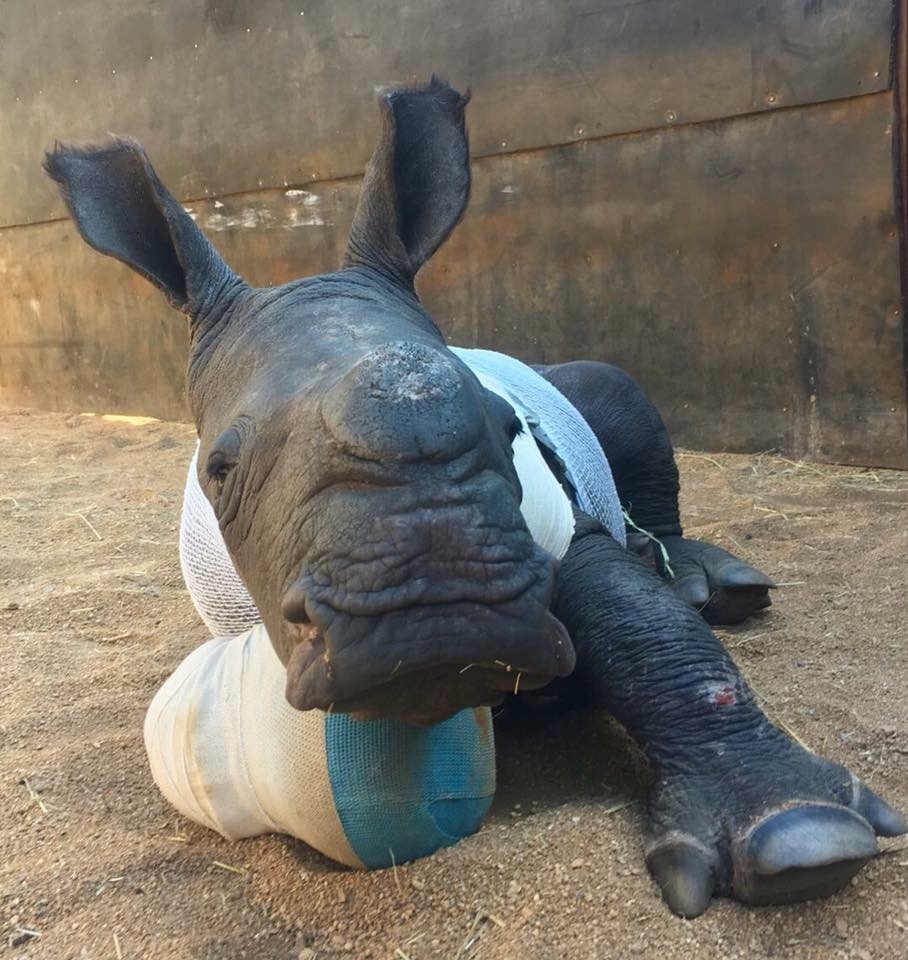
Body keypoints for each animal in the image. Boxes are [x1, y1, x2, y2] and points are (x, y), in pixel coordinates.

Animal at [45, 77, 905, 918]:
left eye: (508, 426)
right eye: (220, 468)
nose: (441, 614)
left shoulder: (553, 530)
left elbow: (646, 626)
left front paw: (801, 839)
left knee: (615, 396)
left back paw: (708, 585)